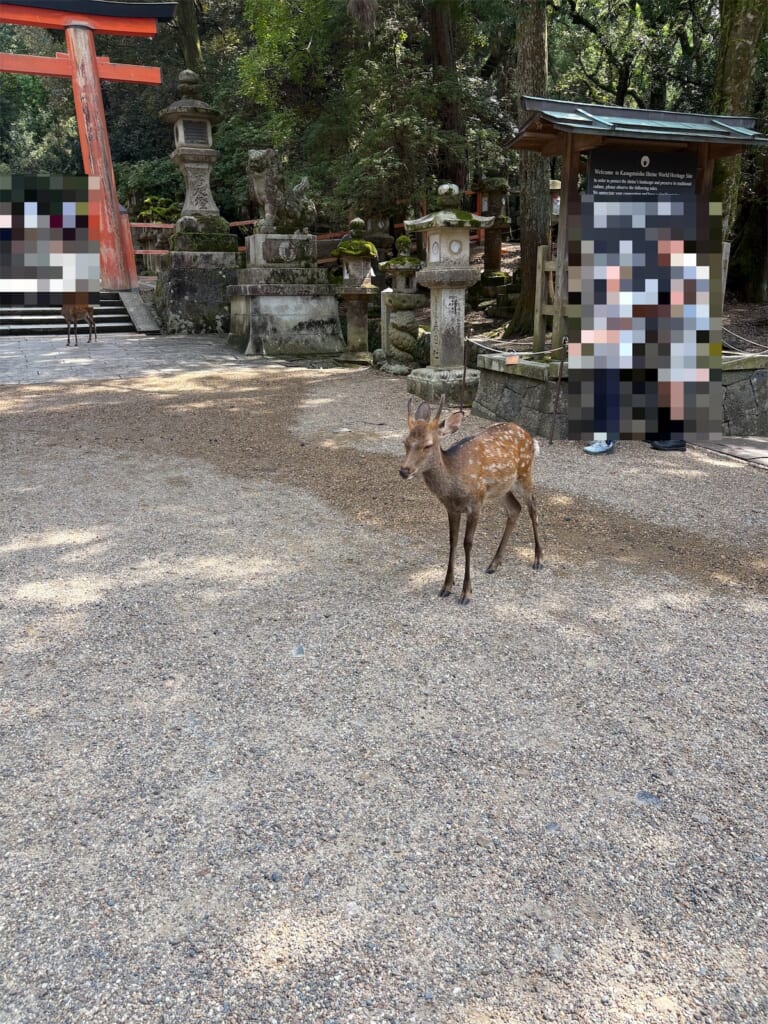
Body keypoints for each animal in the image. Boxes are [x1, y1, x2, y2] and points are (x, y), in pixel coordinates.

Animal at [400, 396, 543, 605]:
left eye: (428, 445)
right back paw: (494, 563)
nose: (404, 470)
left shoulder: (475, 503)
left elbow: (468, 543)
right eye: (405, 442)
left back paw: (538, 559)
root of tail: (530, 437)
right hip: (501, 488)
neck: (454, 483)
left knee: (533, 508)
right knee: (515, 509)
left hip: (524, 473)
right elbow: (453, 540)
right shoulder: (451, 508)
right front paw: (446, 586)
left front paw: (466, 593)